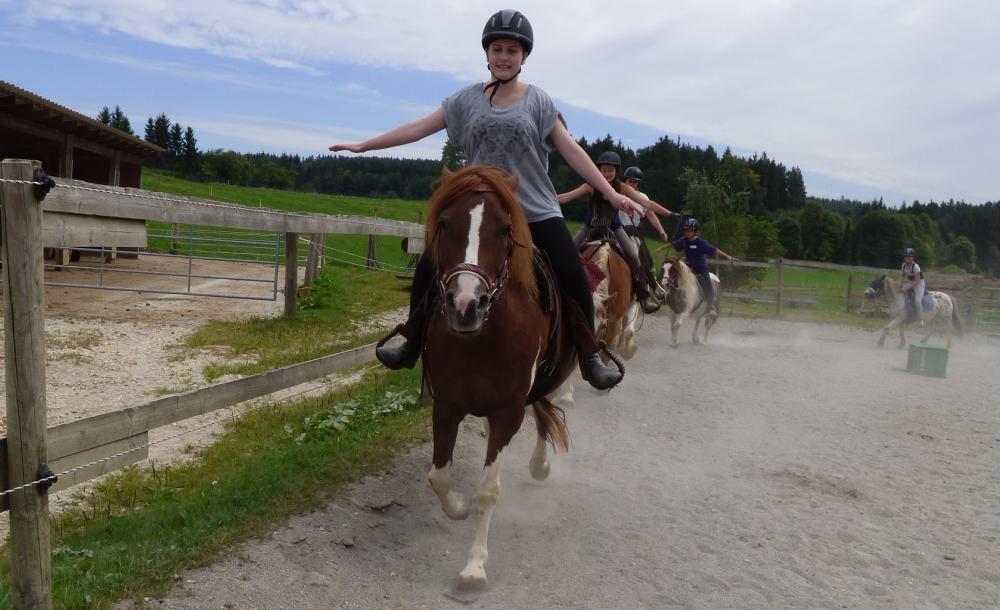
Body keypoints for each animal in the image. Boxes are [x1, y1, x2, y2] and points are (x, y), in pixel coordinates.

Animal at [420, 166, 576, 590]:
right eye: (444, 222)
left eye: (505, 229)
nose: (465, 304)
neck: (484, 336)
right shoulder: (447, 404)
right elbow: (439, 477)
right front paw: (458, 507)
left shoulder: (509, 411)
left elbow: (488, 489)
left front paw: (474, 566)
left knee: (547, 413)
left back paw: (540, 465)